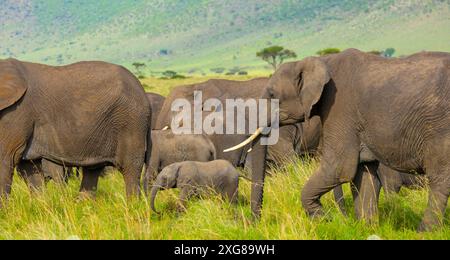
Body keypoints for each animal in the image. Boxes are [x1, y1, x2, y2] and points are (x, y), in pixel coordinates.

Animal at [0, 59, 152, 201]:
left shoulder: (17, 112)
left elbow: (6, 159)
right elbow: (29, 168)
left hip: (131, 122)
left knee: (130, 168)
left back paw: (133, 205)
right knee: (93, 169)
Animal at [239, 48, 446, 232]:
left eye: (272, 95)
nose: (253, 224)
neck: (319, 61)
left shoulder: (339, 106)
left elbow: (339, 168)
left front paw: (325, 220)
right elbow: (364, 173)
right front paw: (365, 228)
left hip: (438, 127)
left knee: (439, 179)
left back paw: (425, 232)